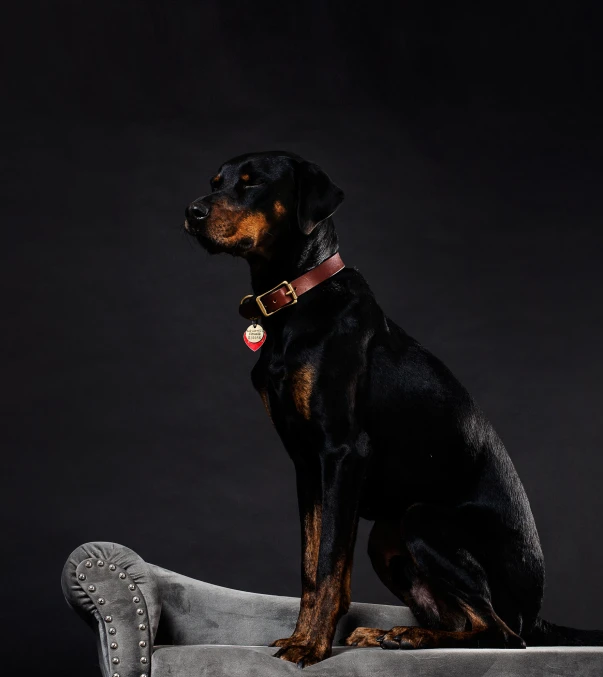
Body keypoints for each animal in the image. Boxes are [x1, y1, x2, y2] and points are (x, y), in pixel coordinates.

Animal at [184, 152, 603, 664]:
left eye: (252, 183)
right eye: (215, 182)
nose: (192, 213)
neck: (296, 301)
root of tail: (537, 612)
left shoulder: (342, 454)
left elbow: (327, 564)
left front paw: (312, 646)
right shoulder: (307, 466)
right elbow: (312, 566)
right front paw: (300, 636)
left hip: (421, 518)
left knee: (503, 635)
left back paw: (409, 636)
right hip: (386, 534)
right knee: (468, 622)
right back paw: (394, 633)